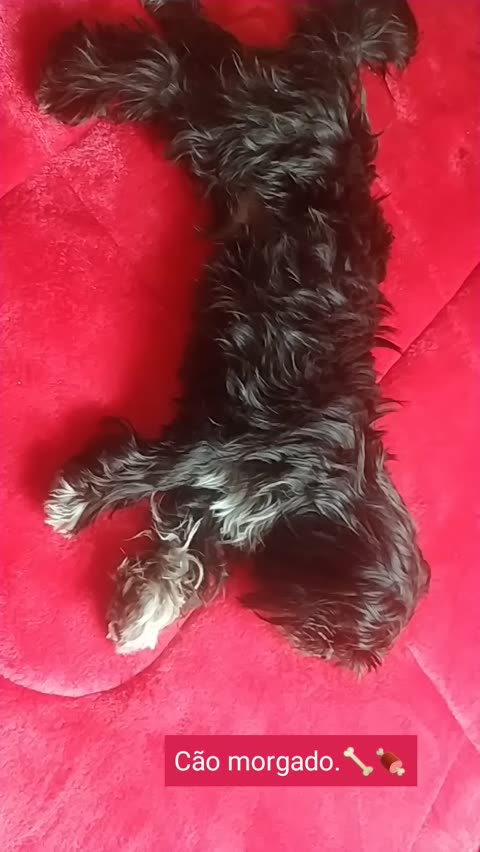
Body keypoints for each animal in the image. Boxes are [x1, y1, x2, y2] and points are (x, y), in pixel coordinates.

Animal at [38, 0, 430, 673]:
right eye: (335, 633)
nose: (317, 647)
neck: (327, 485)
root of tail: (334, 73)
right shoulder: (219, 447)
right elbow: (142, 471)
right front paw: (76, 503)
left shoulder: (213, 500)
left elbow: (186, 558)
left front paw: (144, 612)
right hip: (240, 122)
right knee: (168, 65)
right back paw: (70, 74)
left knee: (175, 66)